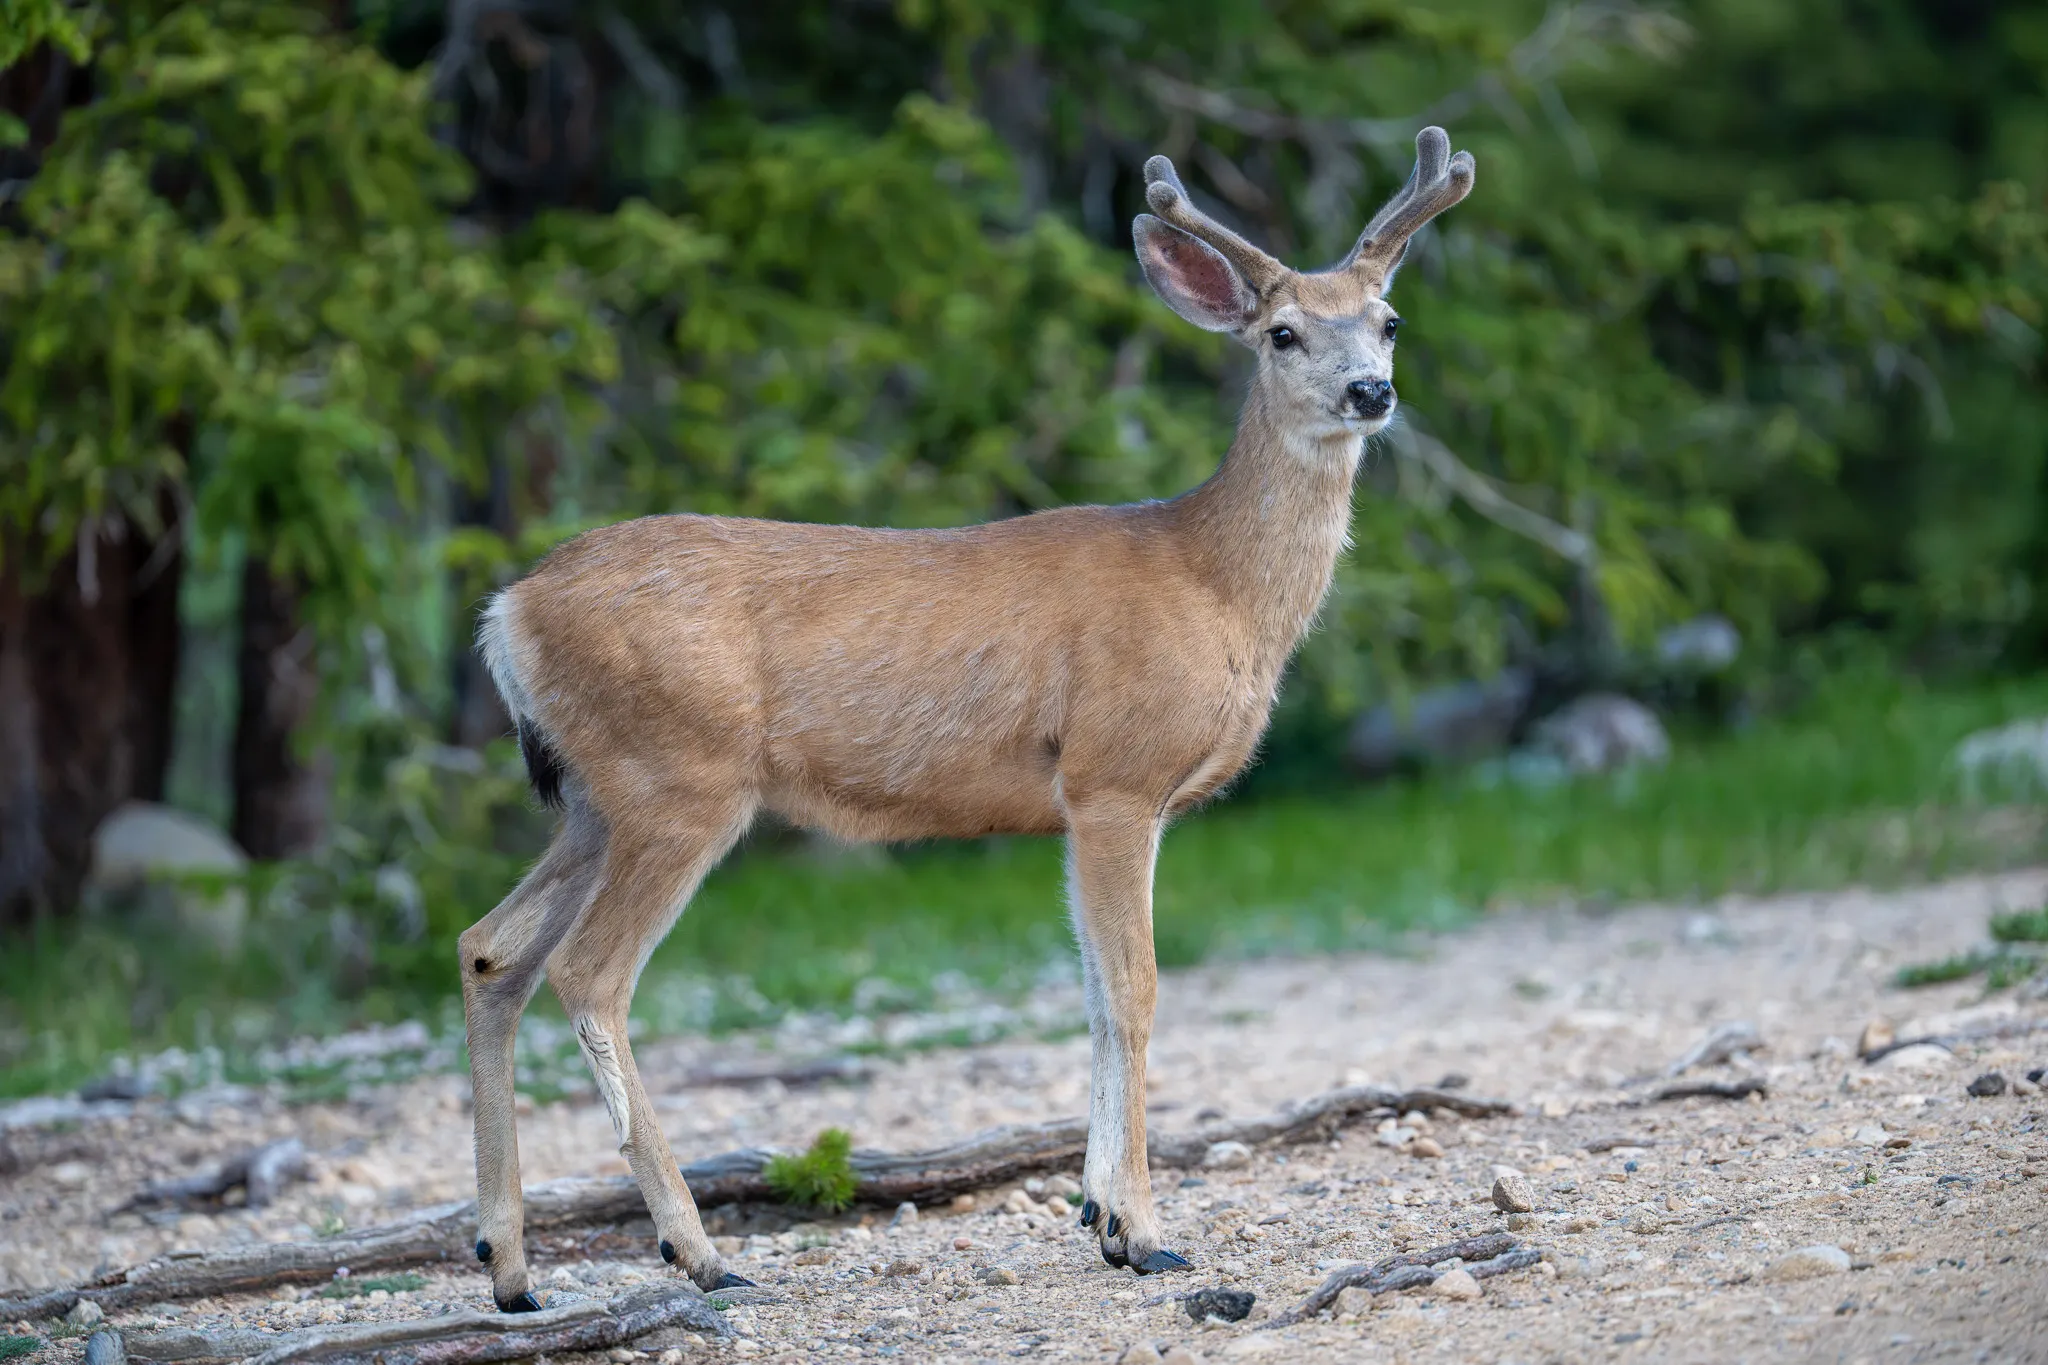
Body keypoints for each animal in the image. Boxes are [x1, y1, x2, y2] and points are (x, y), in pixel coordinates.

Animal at [461, 126, 1475, 1309]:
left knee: (490, 951)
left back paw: (511, 1268)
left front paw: (1100, 1218)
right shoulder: (1114, 775)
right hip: (679, 778)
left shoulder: (1092, 805)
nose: (1369, 390)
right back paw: (697, 1252)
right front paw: (1144, 1229)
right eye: (1281, 331)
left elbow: (1091, 992)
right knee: (588, 974)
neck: (1215, 585)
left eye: (1387, 319)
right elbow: (1135, 989)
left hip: (591, 795)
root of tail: (508, 611)